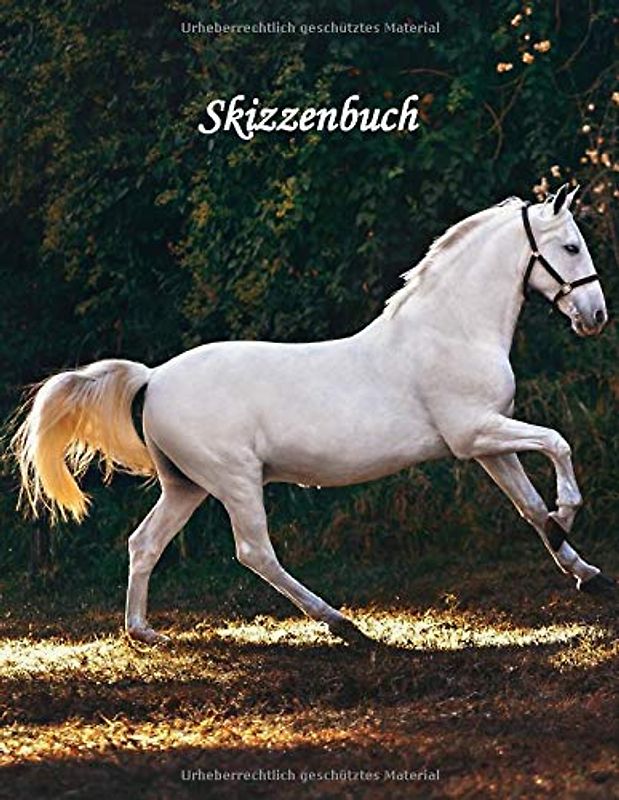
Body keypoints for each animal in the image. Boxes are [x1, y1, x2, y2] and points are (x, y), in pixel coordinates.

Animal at [11, 183, 615, 646]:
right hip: (234, 480)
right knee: (255, 551)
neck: (452, 330)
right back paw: (343, 625)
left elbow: (530, 508)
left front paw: (586, 571)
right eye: (570, 246)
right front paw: (568, 513)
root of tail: (154, 378)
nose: (596, 317)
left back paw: (144, 632)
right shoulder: (475, 434)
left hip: (186, 485)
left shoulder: (490, 444)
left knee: (145, 543)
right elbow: (558, 443)